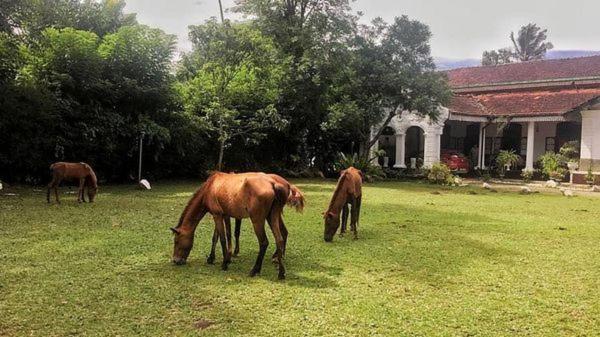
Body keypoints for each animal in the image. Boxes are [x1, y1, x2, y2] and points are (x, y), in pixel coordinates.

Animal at [172, 171, 304, 278]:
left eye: (176, 241)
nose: (176, 260)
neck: (210, 187)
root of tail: (274, 183)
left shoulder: (217, 215)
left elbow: (223, 238)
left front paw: (225, 262)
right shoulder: (221, 215)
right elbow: (217, 237)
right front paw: (212, 258)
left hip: (258, 220)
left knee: (264, 242)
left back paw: (255, 270)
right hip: (272, 217)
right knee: (280, 238)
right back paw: (280, 271)